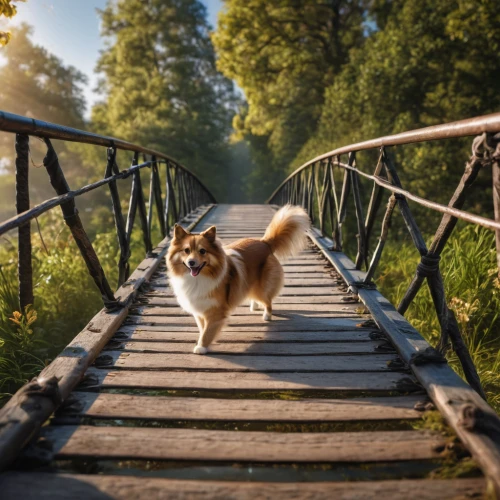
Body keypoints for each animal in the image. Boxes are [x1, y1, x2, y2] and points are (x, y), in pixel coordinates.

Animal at [167, 205, 308, 354]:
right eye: (186, 250)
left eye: (202, 251)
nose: (191, 262)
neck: (199, 278)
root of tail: (264, 243)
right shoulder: (200, 308)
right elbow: (203, 328)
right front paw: (204, 340)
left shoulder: (216, 310)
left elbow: (208, 331)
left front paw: (202, 346)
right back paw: (254, 305)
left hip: (262, 287)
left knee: (267, 300)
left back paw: (267, 315)